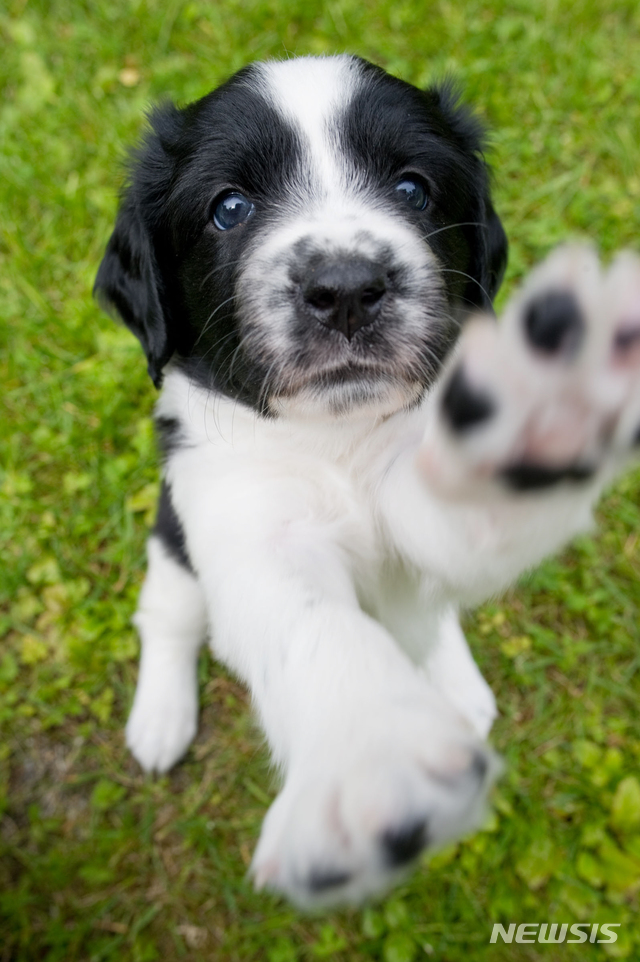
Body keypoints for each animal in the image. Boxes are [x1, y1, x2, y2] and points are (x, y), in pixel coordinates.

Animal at [94, 54, 640, 908]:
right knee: (169, 616)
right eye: (229, 208)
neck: (336, 440)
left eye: (413, 188)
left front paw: (541, 404)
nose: (346, 287)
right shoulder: (240, 514)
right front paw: (372, 765)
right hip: (172, 544)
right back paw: (160, 719)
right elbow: (312, 624)